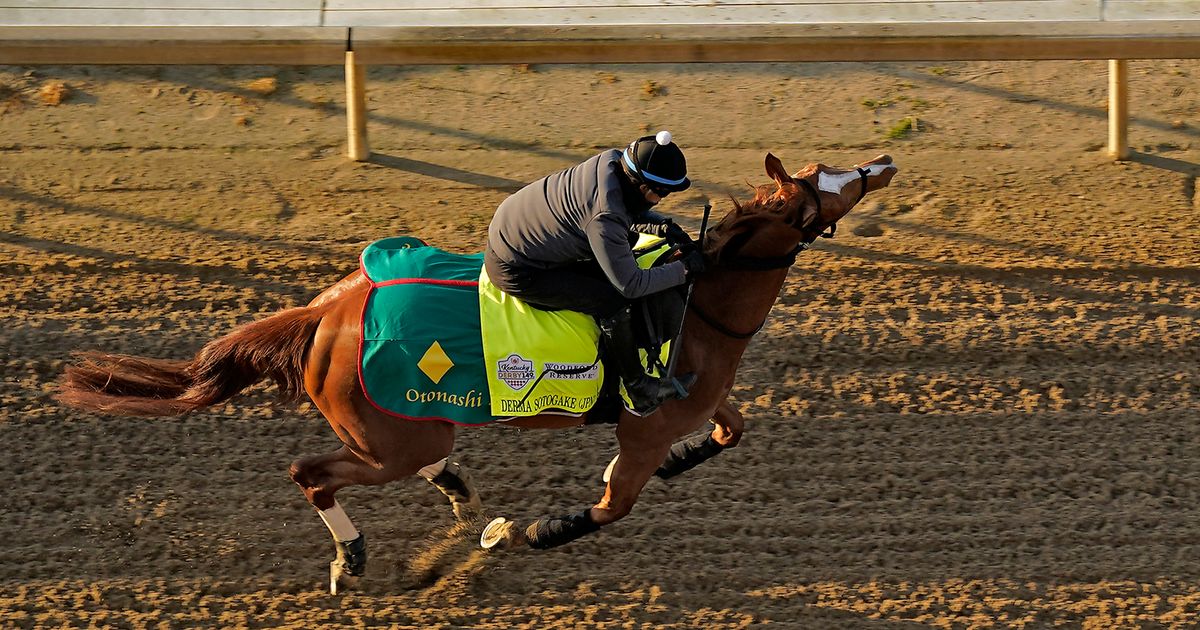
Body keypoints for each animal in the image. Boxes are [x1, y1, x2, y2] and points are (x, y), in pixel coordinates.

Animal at [57, 152, 897, 594]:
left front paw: (685, 462)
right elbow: (610, 506)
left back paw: (457, 492)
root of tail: (326, 312)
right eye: (824, 185)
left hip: (408, 426)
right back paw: (353, 557)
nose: (881, 163)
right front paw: (532, 530)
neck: (695, 307)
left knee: (417, 458)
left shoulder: (693, 405)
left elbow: (730, 429)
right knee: (312, 472)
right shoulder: (642, 428)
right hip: (386, 436)